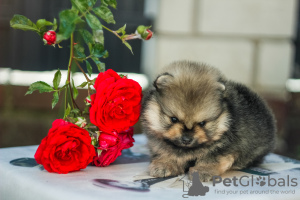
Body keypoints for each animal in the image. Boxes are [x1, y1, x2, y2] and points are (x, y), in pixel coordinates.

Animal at [141, 60, 276, 181]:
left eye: (202, 123)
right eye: (173, 119)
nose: (186, 139)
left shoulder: (224, 148)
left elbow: (210, 159)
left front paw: (202, 171)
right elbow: (167, 153)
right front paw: (164, 165)